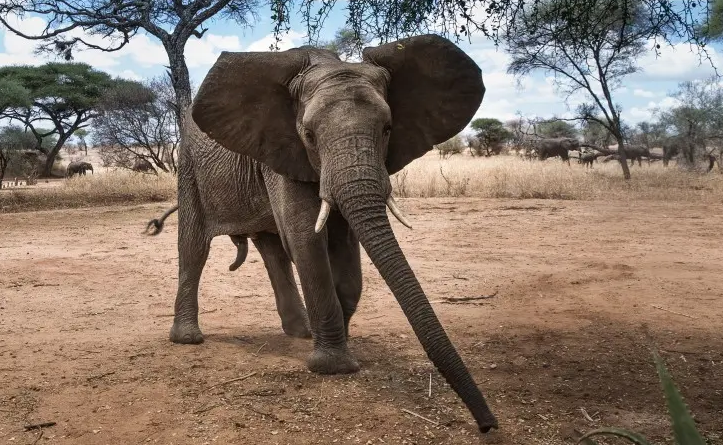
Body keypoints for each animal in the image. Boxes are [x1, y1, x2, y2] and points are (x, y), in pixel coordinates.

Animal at [152, 35, 497, 432]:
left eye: (388, 130)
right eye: (310, 135)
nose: (488, 424)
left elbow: (345, 247)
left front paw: (337, 340)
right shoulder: (285, 147)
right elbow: (306, 238)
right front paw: (334, 366)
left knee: (272, 249)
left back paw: (300, 333)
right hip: (190, 168)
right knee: (195, 247)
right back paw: (188, 339)